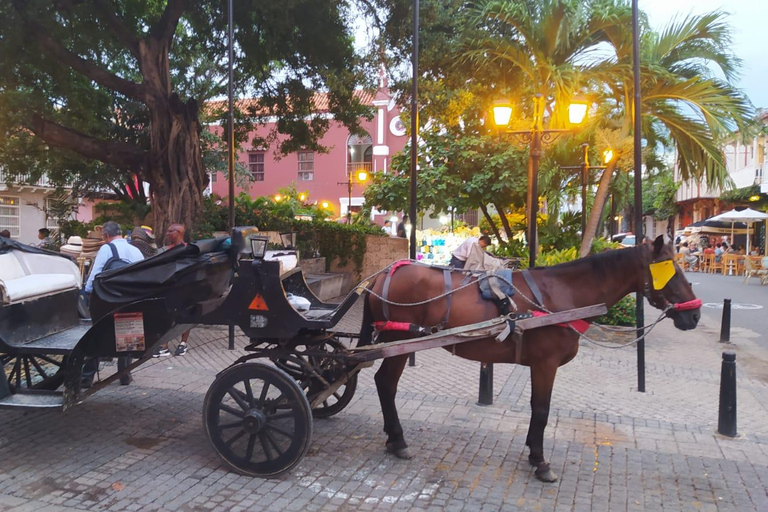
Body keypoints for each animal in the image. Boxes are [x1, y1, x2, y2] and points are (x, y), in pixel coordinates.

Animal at [360, 236, 704, 480]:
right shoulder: (545, 364)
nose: (695, 315)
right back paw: (398, 440)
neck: (564, 294)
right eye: (671, 271)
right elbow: (541, 410)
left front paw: (532, 452)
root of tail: (381, 277)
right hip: (400, 342)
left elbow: (536, 409)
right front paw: (540, 461)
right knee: (385, 383)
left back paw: (393, 438)